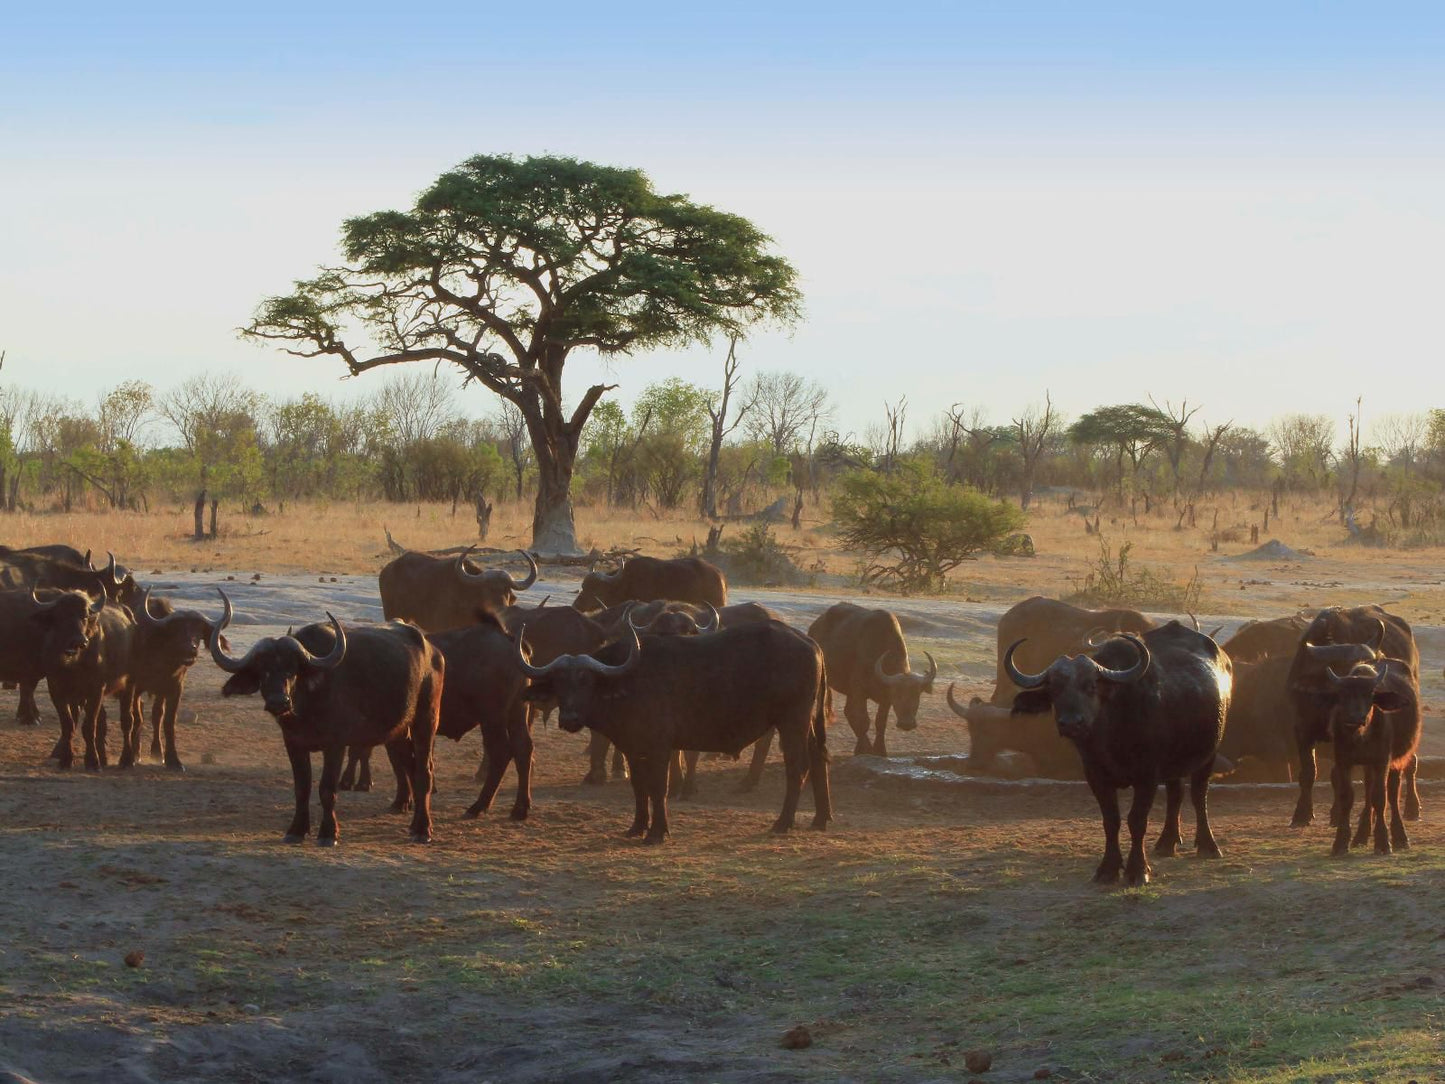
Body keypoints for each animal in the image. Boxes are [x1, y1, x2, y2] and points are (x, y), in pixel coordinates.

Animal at [210, 595, 442, 849]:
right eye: (263, 670)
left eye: (292, 669)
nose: (278, 701)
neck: (306, 710)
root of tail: (432, 651)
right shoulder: (293, 744)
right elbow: (301, 788)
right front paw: (296, 830)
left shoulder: (336, 745)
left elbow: (327, 788)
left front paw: (328, 833)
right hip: (399, 731)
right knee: (410, 767)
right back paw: (413, 822)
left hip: (426, 720)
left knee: (424, 772)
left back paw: (422, 829)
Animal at [514, 624, 832, 844]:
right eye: (559, 682)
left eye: (586, 680)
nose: (569, 718)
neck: (628, 681)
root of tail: (812, 644)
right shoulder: (632, 748)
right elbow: (639, 787)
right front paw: (637, 826)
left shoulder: (660, 748)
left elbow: (658, 787)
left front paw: (657, 832)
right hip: (808, 723)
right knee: (818, 759)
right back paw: (820, 818)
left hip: (792, 721)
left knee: (797, 767)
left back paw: (783, 822)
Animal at [1005, 624, 1231, 884]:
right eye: (1054, 689)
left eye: (1091, 686)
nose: (1071, 723)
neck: (1110, 737)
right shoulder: (1095, 775)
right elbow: (1111, 820)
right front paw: (1108, 868)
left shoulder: (1147, 776)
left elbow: (1137, 820)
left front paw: (1138, 870)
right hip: (1175, 763)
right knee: (1176, 794)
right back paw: (1167, 842)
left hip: (1210, 753)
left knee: (1198, 795)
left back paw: (1208, 846)